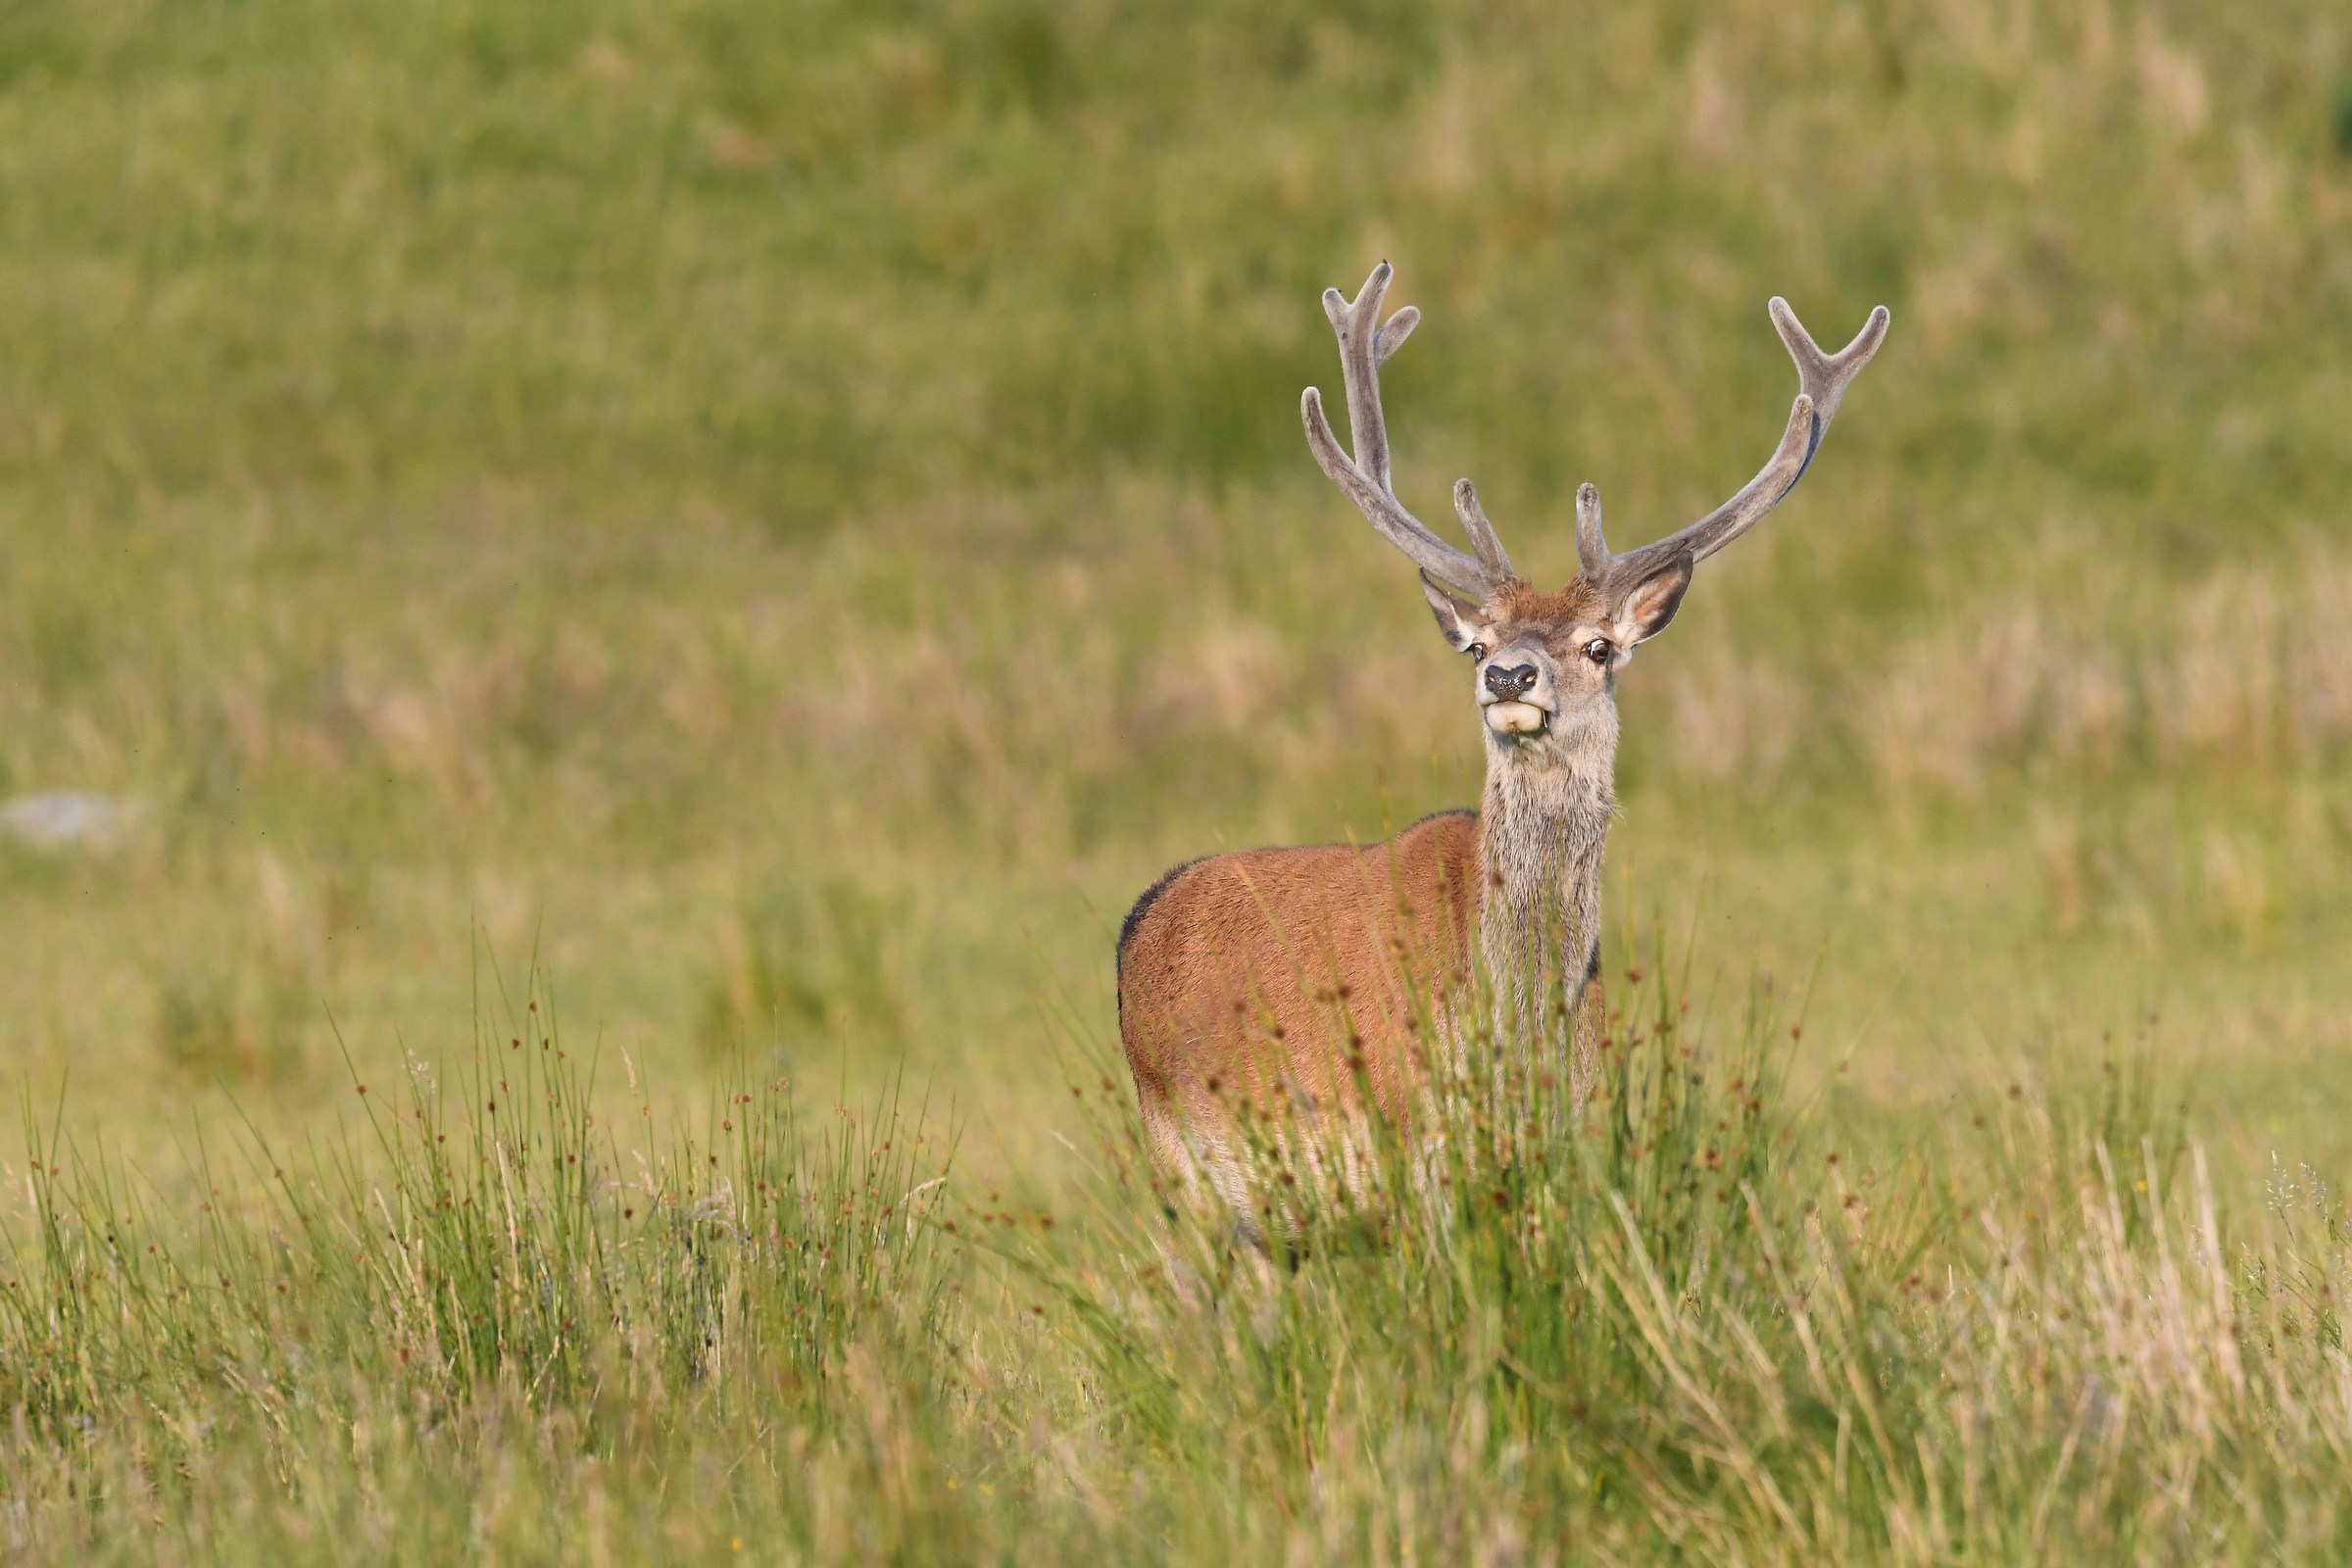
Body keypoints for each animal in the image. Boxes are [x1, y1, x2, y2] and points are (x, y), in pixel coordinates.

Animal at [1117, 260, 1887, 1216]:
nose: (1511, 677)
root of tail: (1140, 918)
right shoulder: (1405, 1145)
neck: (1518, 1025)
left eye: (1598, 646)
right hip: (1185, 1169)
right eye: (1479, 645)